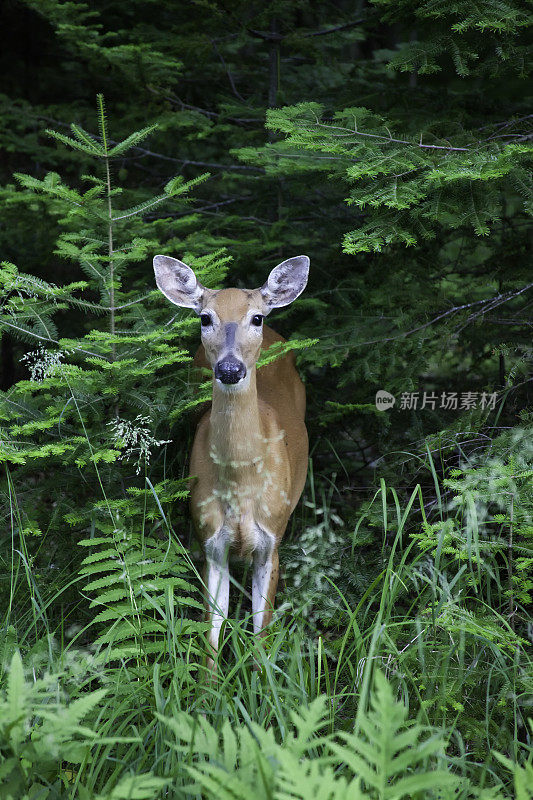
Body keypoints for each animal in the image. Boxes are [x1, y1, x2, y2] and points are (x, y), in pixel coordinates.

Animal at [152, 253, 310, 664]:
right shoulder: (211, 541)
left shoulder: (271, 537)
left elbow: (261, 637)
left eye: (256, 318)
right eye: (205, 317)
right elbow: (211, 637)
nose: (229, 368)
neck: (241, 485)